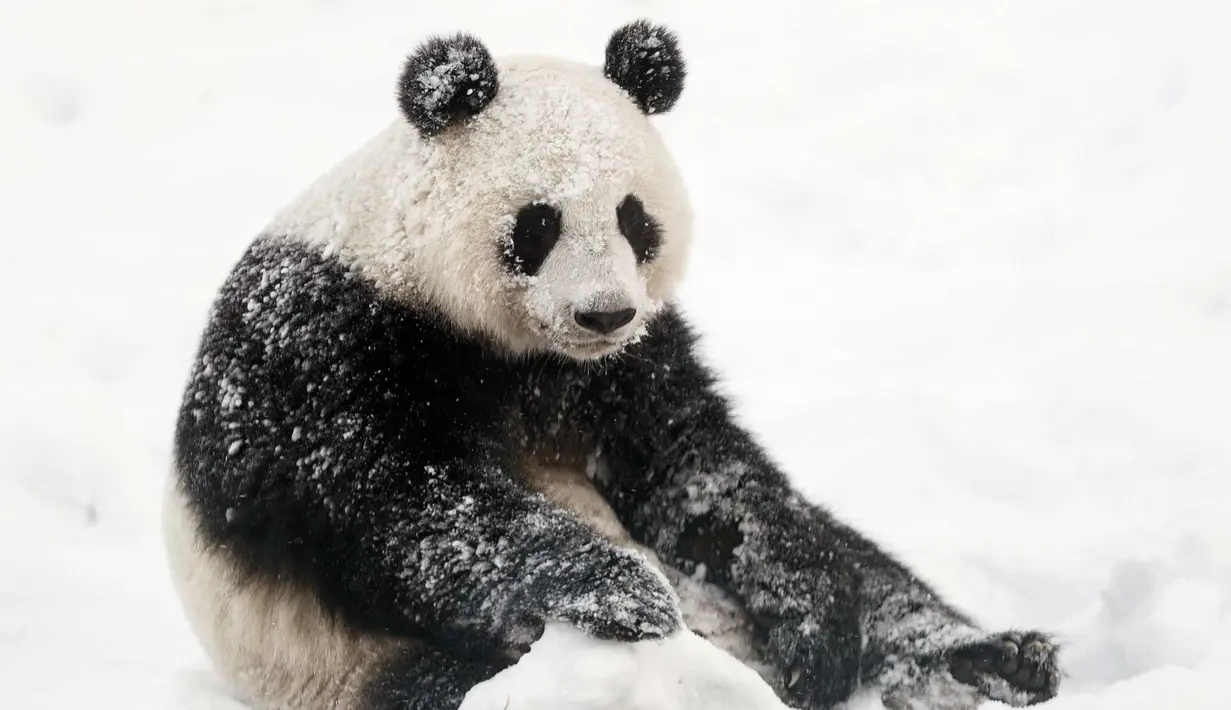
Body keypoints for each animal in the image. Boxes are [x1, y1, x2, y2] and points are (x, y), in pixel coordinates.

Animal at [163, 20, 1062, 710]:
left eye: (635, 219)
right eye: (538, 224)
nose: (603, 312)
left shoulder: (630, 364)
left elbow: (698, 477)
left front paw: (814, 618)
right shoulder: (321, 346)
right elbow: (413, 506)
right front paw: (620, 587)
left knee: (868, 565)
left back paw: (989, 659)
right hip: (341, 664)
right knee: (447, 683)